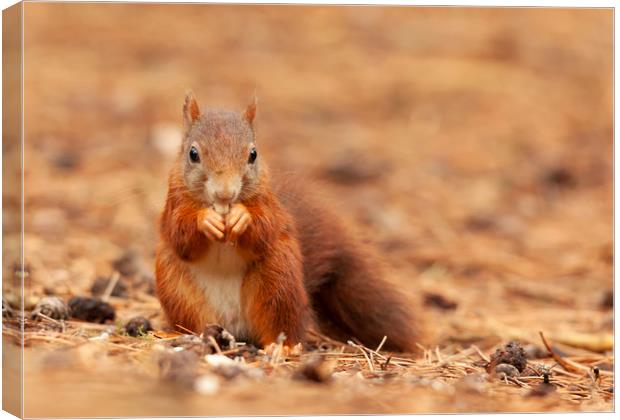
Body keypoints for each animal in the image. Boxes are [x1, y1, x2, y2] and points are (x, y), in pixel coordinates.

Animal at [157, 92, 424, 352]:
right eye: (193, 154)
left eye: (253, 154)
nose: (225, 193)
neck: (222, 208)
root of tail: (235, 328)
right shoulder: (174, 202)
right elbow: (180, 235)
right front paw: (206, 219)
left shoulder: (269, 205)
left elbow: (264, 229)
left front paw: (243, 217)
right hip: (177, 291)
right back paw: (178, 334)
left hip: (278, 281)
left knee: (281, 322)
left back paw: (282, 347)